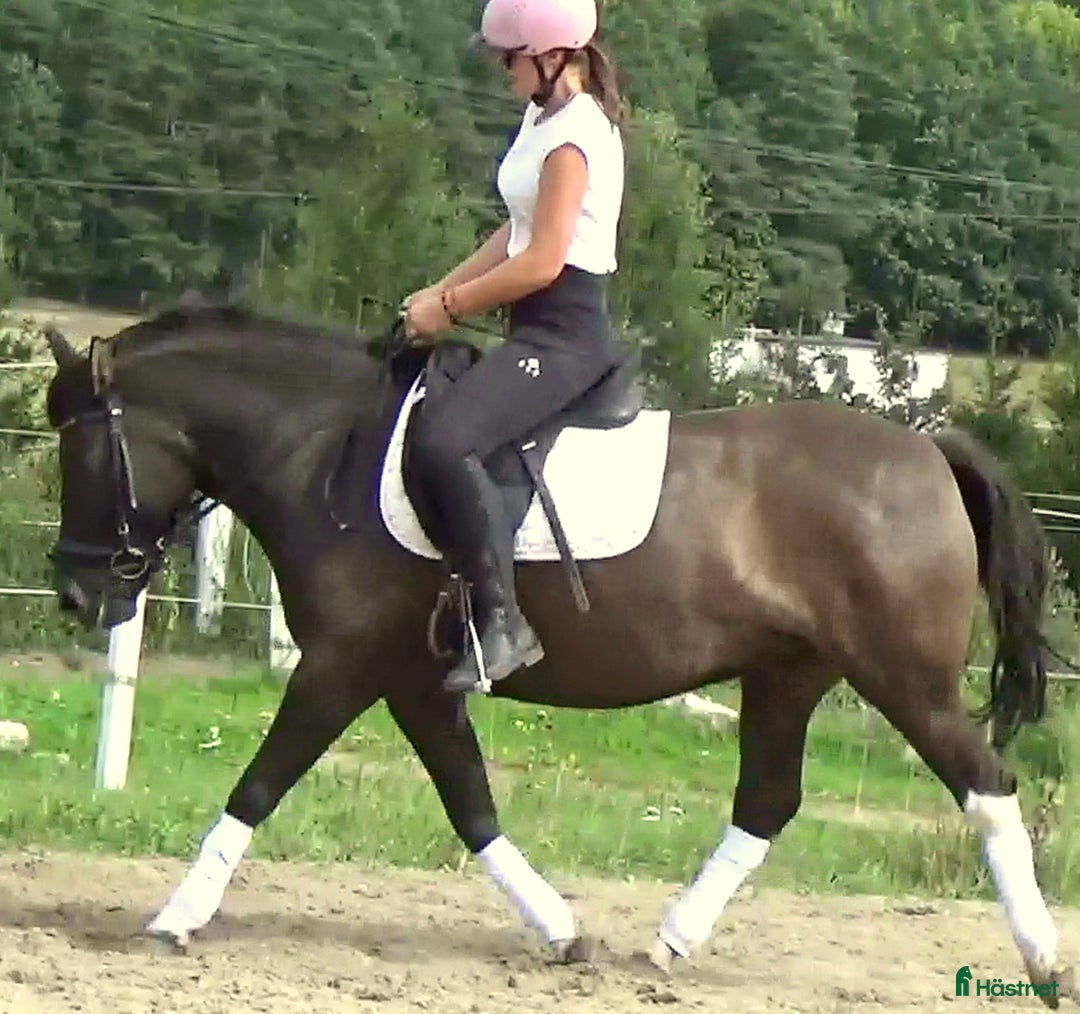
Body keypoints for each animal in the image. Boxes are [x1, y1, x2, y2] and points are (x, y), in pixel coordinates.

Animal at [41, 297, 1073, 1007]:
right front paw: (561, 931)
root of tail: (928, 453)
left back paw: (1041, 960)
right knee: (768, 803)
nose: (78, 594)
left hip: (902, 677)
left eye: (82, 452)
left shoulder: (342, 666)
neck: (325, 450)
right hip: (788, 673)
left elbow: (257, 787)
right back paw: (669, 941)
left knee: (986, 787)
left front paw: (174, 918)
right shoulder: (415, 682)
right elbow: (471, 806)